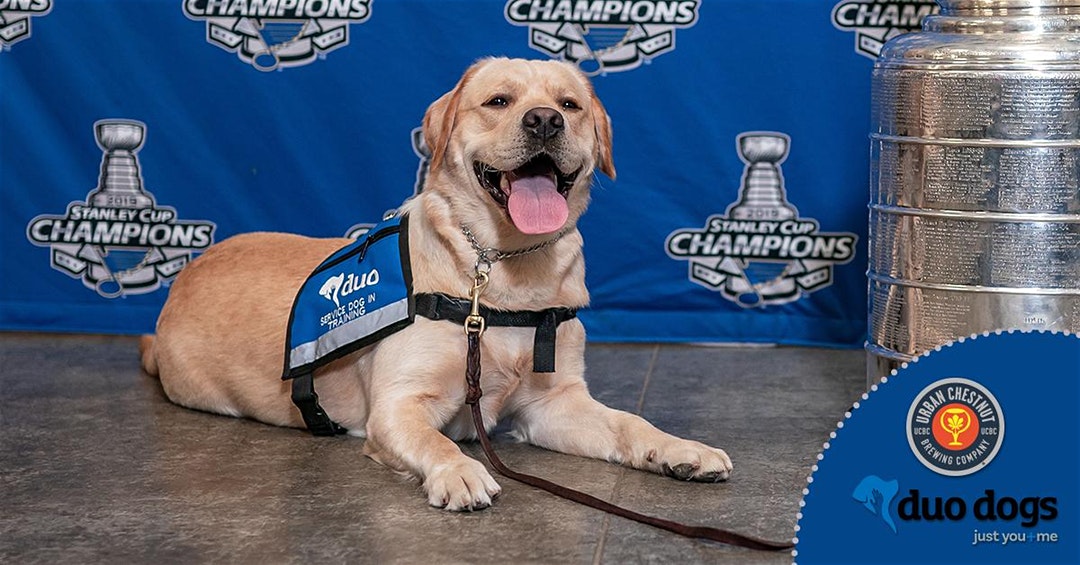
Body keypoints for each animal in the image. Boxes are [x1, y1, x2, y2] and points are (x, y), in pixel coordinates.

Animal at [141, 57, 734, 512]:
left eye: (570, 105)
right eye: (498, 101)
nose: (544, 121)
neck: (504, 272)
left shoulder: (553, 404)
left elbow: (630, 423)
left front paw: (679, 448)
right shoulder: (398, 406)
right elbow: (435, 439)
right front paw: (461, 470)